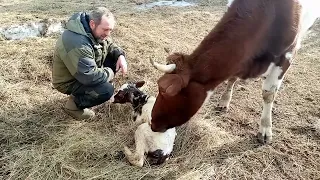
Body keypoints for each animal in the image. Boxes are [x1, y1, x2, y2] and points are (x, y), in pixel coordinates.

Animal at [150, 0, 320, 143]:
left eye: (165, 91)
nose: (152, 122)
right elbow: (232, 77)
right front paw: (224, 101)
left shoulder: (287, 55)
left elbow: (268, 94)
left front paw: (265, 129)